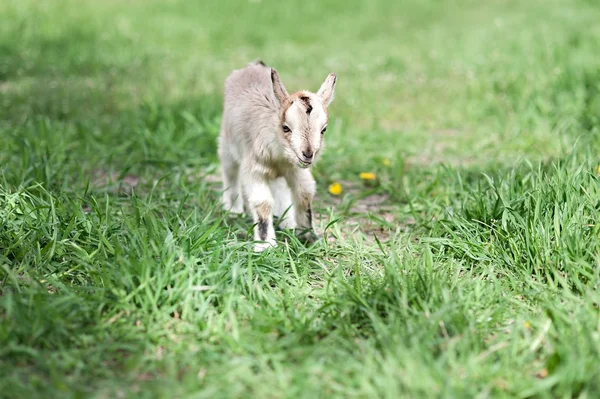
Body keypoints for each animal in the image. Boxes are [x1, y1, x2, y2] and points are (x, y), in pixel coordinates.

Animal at [217, 61, 338, 252]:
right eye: (285, 127)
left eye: (323, 129)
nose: (308, 154)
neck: (280, 157)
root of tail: (253, 64)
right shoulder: (254, 168)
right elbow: (262, 202)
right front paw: (265, 245)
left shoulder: (296, 170)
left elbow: (304, 194)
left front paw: (307, 236)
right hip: (227, 145)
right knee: (229, 172)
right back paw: (233, 210)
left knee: (280, 187)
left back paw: (286, 221)